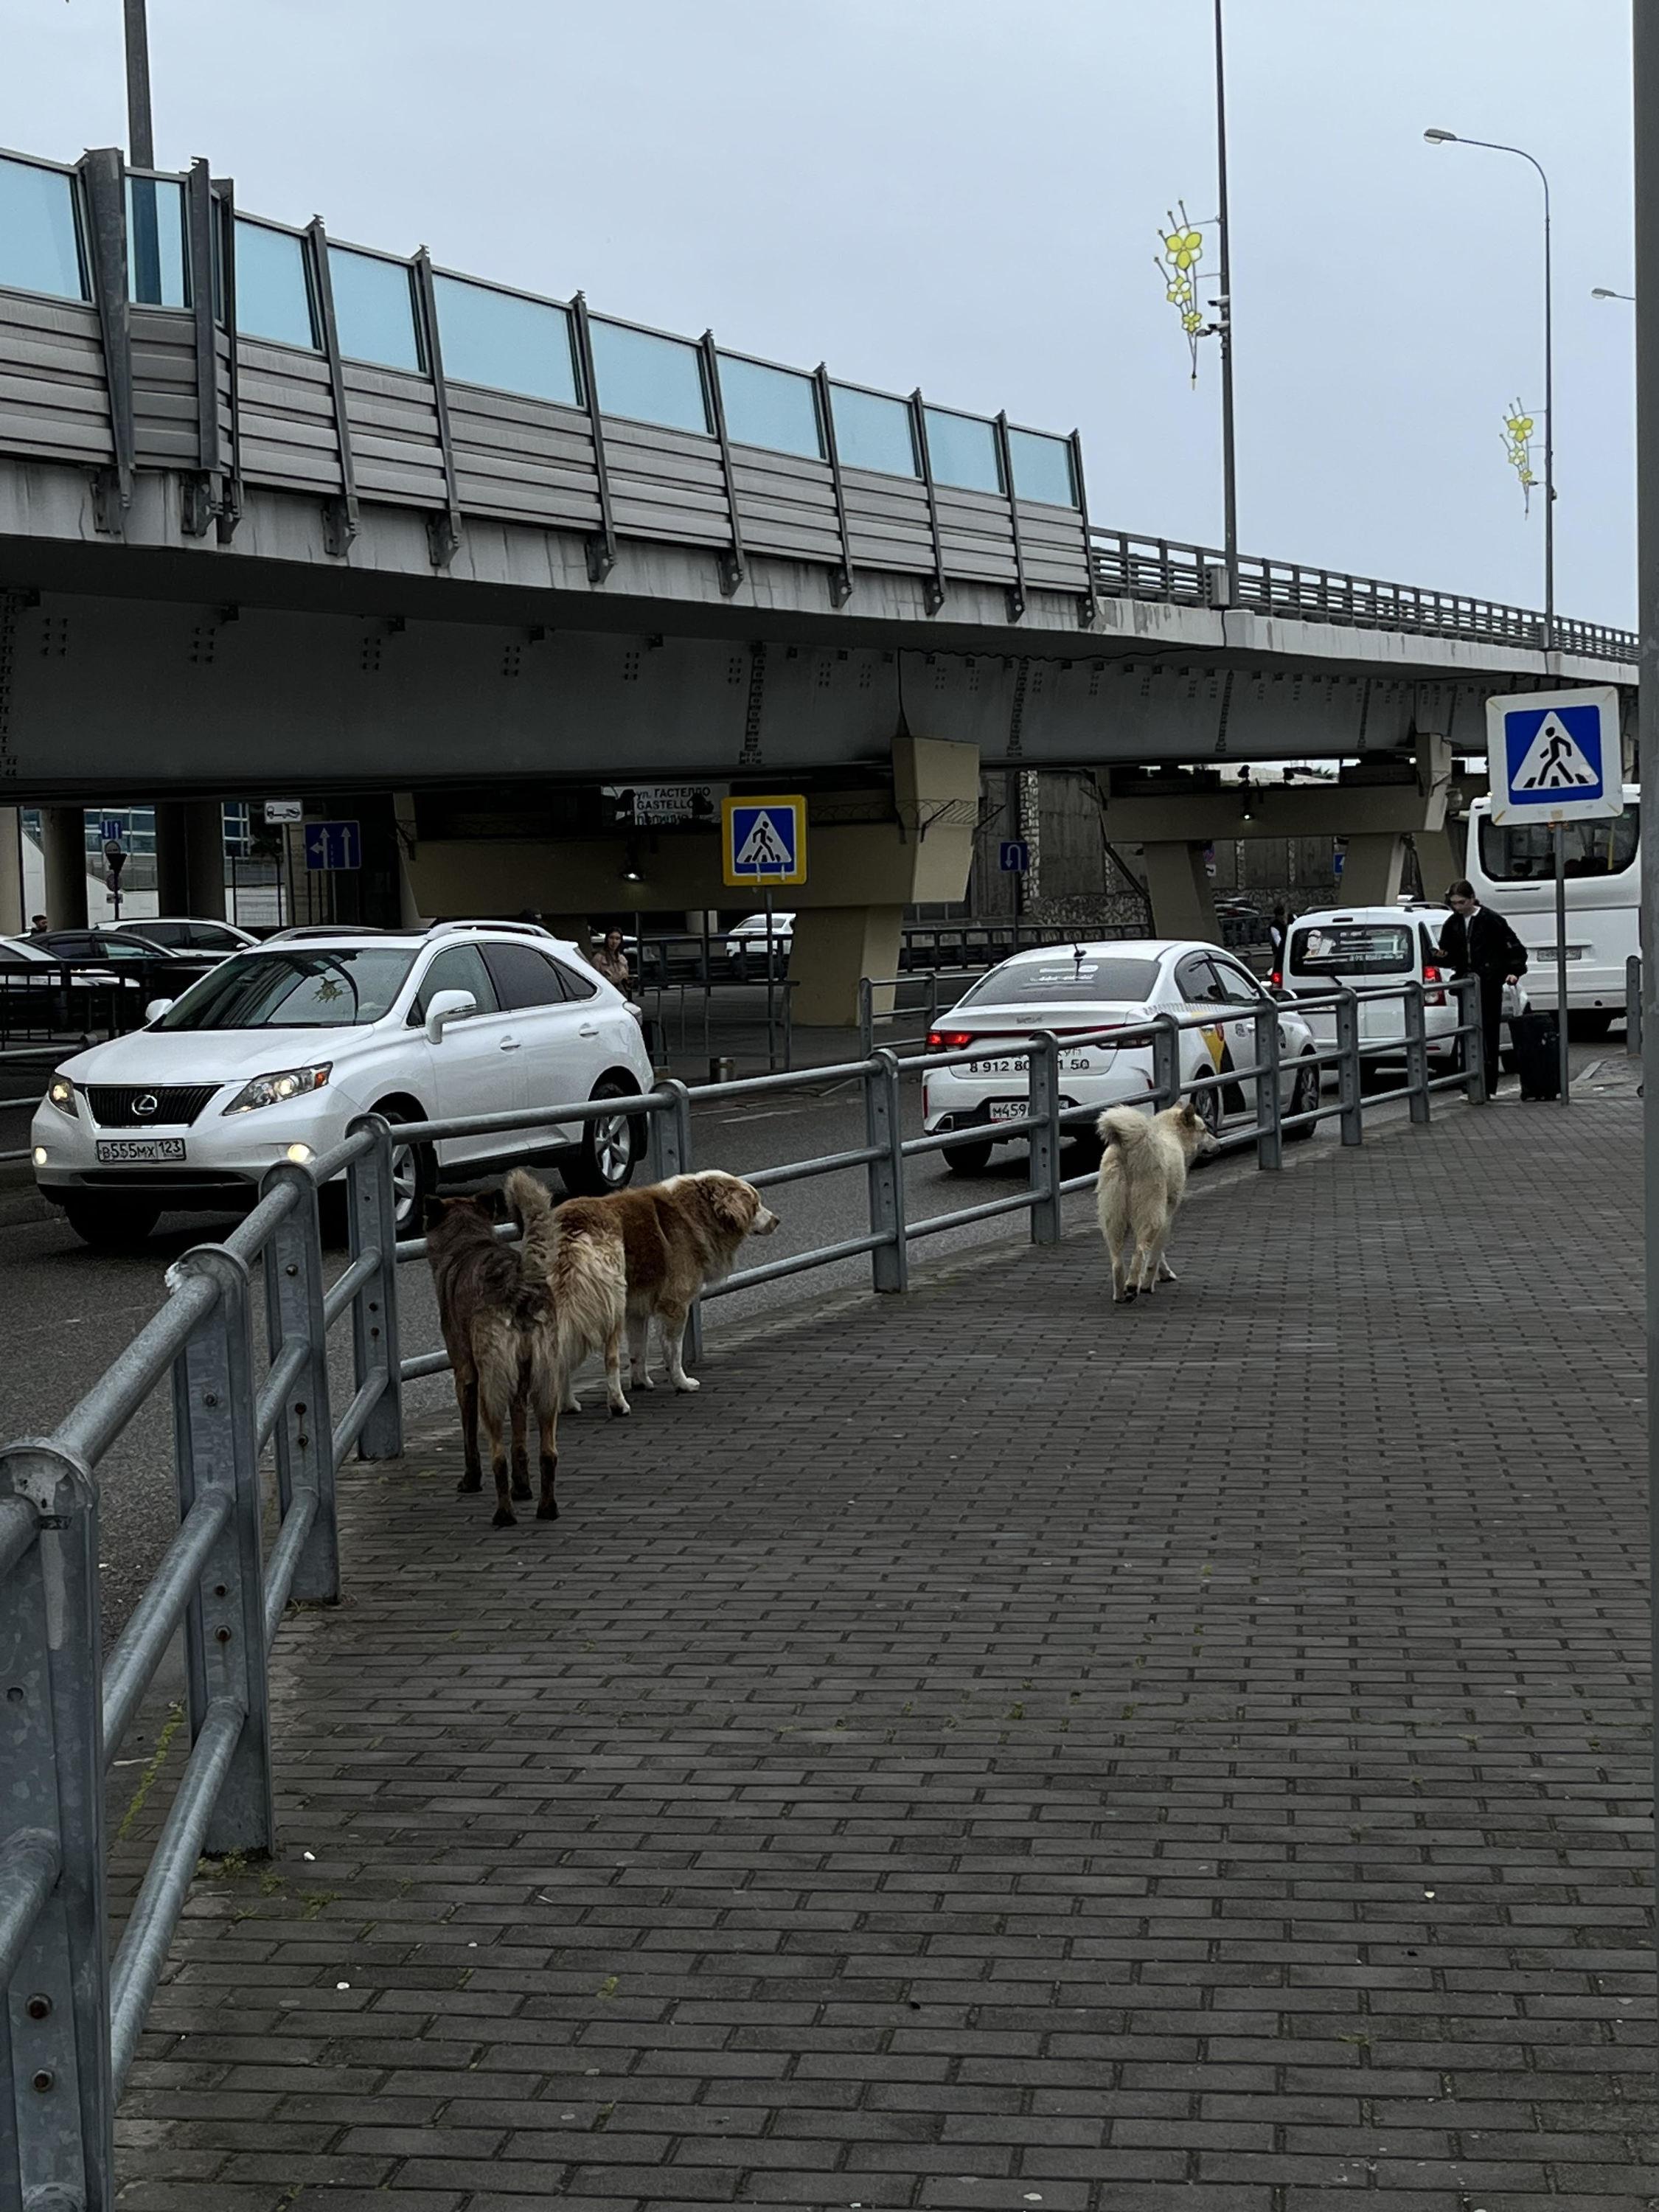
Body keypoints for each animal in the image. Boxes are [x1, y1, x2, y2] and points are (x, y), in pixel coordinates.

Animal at [1097, 1102, 1212, 1301]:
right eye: (1204, 1130)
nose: (1219, 1144)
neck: (1171, 1134)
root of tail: (1131, 1148)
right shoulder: (1166, 1216)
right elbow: (1155, 1255)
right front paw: (1151, 1281)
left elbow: (1158, 1254)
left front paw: (1163, 1274)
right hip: (1151, 1214)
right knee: (1140, 1252)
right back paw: (1134, 1286)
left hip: (1114, 1219)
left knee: (1117, 1261)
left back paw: (1120, 1295)